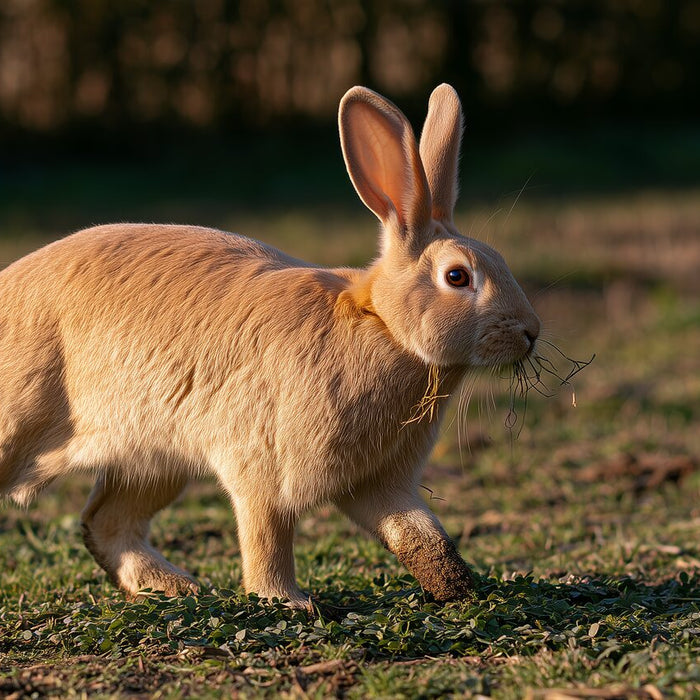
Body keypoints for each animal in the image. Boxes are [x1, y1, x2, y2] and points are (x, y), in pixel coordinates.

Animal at [0, 84, 539, 608]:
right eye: (457, 276)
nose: (531, 331)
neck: (383, 326)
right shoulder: (263, 470)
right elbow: (268, 539)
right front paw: (288, 601)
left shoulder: (381, 483)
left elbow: (421, 535)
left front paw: (462, 590)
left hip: (153, 458)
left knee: (105, 523)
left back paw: (176, 586)